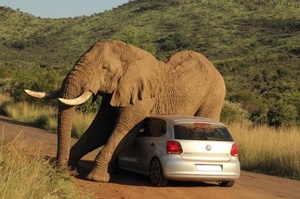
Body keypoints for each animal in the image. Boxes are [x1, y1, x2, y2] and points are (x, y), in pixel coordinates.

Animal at [25, 39, 225, 183]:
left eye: (104, 68)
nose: (60, 171)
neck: (130, 53)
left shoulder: (143, 97)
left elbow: (124, 133)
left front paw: (96, 178)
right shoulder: (116, 92)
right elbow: (100, 130)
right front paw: (72, 170)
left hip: (214, 96)